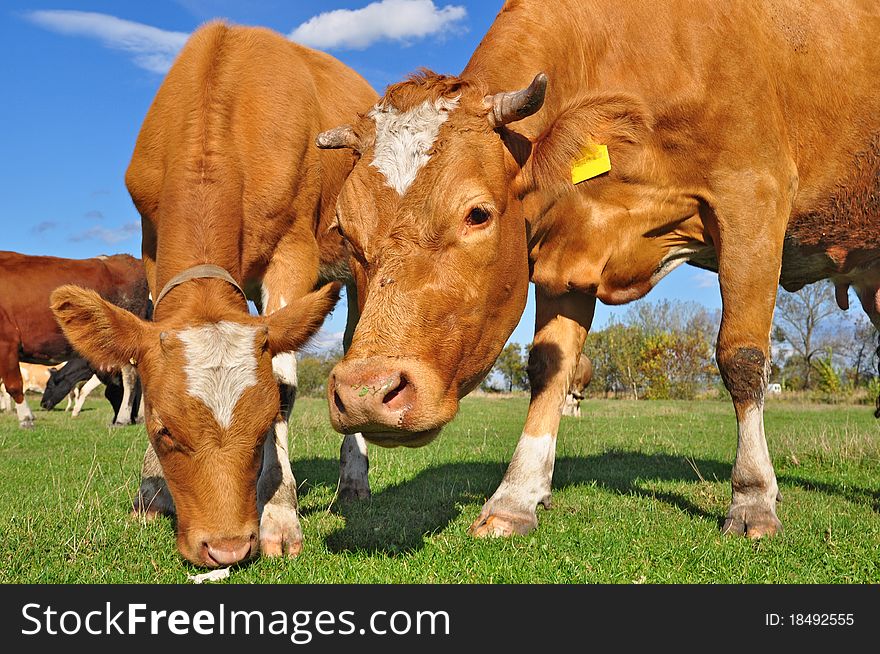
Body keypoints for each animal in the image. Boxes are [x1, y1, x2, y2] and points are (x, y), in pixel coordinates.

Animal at [0, 251, 148, 430]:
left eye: (50, 385)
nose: (43, 405)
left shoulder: (6, 342)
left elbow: (14, 385)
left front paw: (26, 419)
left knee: (130, 378)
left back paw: (123, 418)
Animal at [318, 0, 880, 544]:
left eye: (477, 214)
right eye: (344, 228)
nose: (366, 394)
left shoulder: (752, 198)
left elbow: (741, 357)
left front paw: (754, 500)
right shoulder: (570, 249)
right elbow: (550, 367)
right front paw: (515, 499)